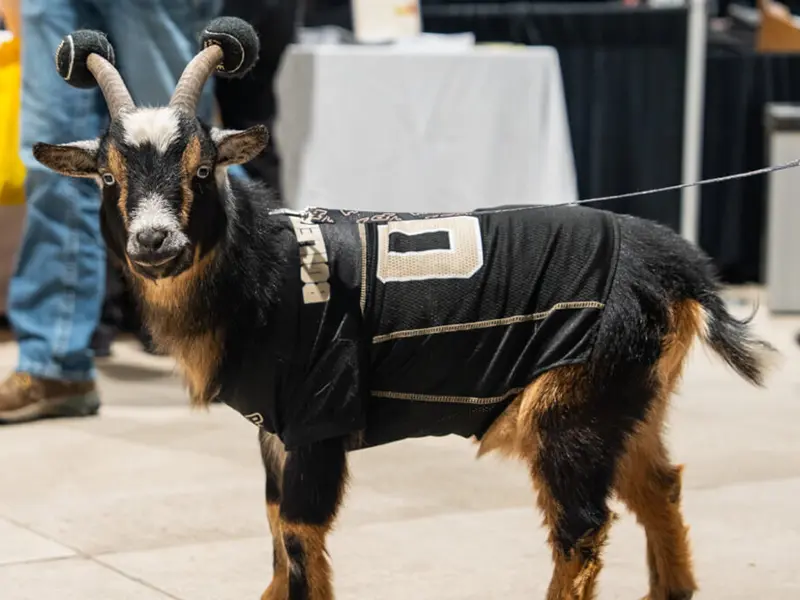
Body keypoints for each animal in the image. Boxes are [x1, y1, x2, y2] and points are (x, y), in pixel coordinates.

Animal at [33, 17, 778, 600]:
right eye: (108, 178)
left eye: (202, 170)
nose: (154, 241)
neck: (266, 271)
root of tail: (677, 265)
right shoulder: (276, 429)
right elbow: (275, 532)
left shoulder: (321, 413)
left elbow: (297, 536)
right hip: (631, 399)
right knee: (660, 486)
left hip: (576, 403)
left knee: (582, 528)